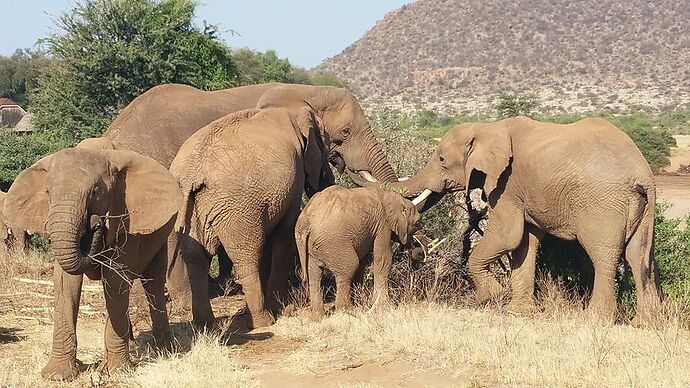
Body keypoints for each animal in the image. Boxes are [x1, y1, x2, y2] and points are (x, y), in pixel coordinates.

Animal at [2, 148, 180, 378]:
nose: (96, 222)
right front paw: (57, 375)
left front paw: (118, 372)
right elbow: (65, 281)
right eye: (48, 192)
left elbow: (115, 281)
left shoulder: (126, 221)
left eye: (95, 192)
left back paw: (165, 350)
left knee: (154, 283)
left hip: (162, 233)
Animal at [169, 105, 334, 328]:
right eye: (325, 145)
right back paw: (263, 321)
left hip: (190, 206)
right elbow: (284, 233)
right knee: (246, 257)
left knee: (196, 259)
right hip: (236, 208)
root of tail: (191, 173)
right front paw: (282, 306)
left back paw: (207, 325)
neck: (293, 113)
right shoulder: (296, 173)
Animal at [294, 186, 420, 318]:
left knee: (314, 275)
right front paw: (383, 307)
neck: (390, 196)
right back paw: (349, 311)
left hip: (313, 246)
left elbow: (363, 262)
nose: (415, 249)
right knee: (349, 267)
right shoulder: (383, 225)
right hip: (333, 241)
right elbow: (384, 258)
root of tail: (304, 222)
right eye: (417, 223)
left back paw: (319, 316)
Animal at [382, 116, 660, 322]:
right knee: (639, 255)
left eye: (441, 160)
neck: (487, 127)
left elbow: (508, 236)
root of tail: (642, 173)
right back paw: (646, 323)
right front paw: (518, 311)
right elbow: (525, 243)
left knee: (604, 255)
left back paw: (594, 319)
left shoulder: (506, 184)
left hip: (602, 204)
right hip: (643, 208)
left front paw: (491, 296)